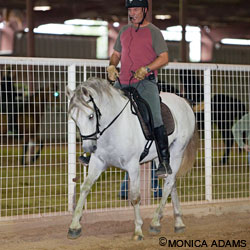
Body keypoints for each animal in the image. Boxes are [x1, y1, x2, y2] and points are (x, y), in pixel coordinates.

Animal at [66, 77, 199, 240]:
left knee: (169, 183)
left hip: (177, 152)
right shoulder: (98, 163)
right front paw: (74, 226)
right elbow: (85, 188)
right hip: (159, 158)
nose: (89, 148)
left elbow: (135, 197)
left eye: (91, 116)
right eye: (74, 118)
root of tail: (184, 101)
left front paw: (138, 231)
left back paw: (155, 222)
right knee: (171, 183)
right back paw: (178, 223)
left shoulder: (133, 166)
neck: (114, 127)